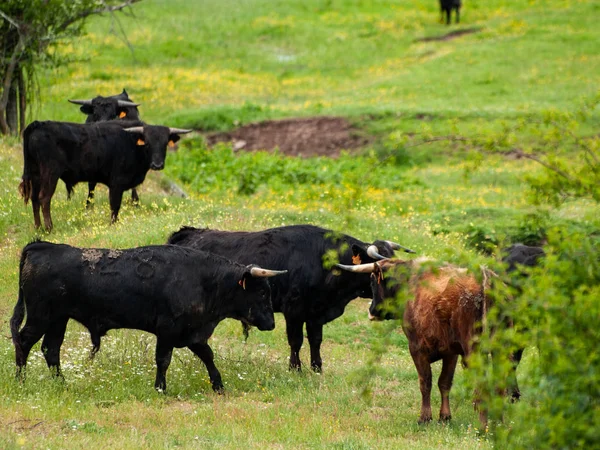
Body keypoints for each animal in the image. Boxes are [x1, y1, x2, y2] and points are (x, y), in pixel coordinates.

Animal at [10, 241, 284, 392]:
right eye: (261, 292)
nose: (271, 324)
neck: (204, 279)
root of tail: (41, 246)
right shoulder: (168, 330)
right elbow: (163, 360)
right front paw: (160, 388)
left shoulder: (192, 333)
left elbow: (208, 355)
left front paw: (218, 385)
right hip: (40, 317)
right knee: (23, 342)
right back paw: (20, 381)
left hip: (58, 320)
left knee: (50, 349)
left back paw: (61, 383)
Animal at [19, 119, 190, 232]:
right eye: (147, 143)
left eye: (165, 144)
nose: (157, 165)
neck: (132, 142)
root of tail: (38, 124)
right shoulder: (116, 184)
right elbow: (115, 205)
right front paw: (113, 224)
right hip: (50, 173)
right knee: (44, 198)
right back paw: (49, 228)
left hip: (35, 173)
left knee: (34, 198)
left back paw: (38, 227)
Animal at [166, 223, 414, 370]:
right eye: (382, 271)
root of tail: (187, 232)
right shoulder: (294, 311)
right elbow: (296, 340)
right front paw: (295, 368)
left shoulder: (315, 313)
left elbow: (316, 340)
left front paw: (317, 368)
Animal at [336, 258, 494, 424]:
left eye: (372, 282)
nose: (371, 312)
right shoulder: (451, 353)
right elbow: (444, 382)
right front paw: (445, 416)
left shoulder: (416, 348)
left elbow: (425, 382)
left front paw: (425, 417)